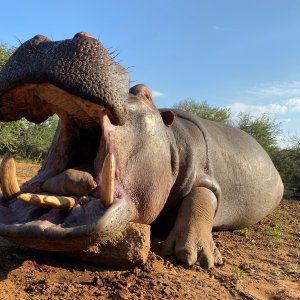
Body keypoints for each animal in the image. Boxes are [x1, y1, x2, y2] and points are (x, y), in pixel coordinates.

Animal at [0, 32, 282, 268]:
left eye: (145, 93)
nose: (56, 41)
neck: (170, 139)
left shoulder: (204, 174)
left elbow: (202, 196)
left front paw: (197, 257)